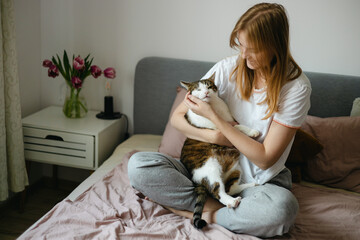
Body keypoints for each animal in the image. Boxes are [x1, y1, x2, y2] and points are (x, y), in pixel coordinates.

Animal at [180, 72, 258, 229]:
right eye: (198, 89)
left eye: (209, 86)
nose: (205, 92)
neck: (214, 109)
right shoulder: (219, 130)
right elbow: (236, 128)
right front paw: (251, 132)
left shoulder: (230, 119)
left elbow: (238, 126)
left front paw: (251, 132)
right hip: (210, 169)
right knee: (218, 192)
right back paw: (232, 201)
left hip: (236, 168)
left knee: (230, 188)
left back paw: (250, 184)